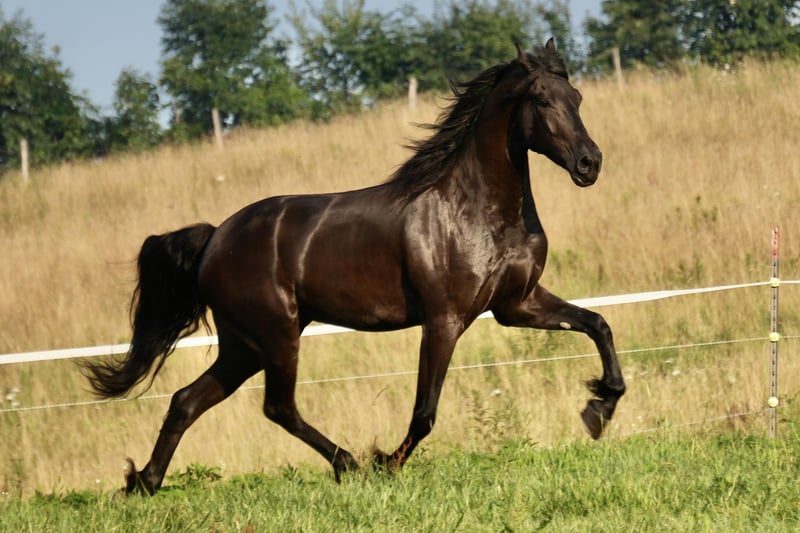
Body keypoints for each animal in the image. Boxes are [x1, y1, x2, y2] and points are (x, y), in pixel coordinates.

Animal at [84, 39, 625, 495]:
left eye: (576, 96)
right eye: (542, 100)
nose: (589, 164)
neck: (477, 209)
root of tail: (215, 239)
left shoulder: (517, 304)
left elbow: (597, 323)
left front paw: (598, 408)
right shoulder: (444, 320)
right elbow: (425, 411)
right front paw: (387, 462)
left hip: (245, 344)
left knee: (187, 400)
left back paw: (143, 483)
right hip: (277, 336)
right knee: (277, 406)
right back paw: (349, 463)